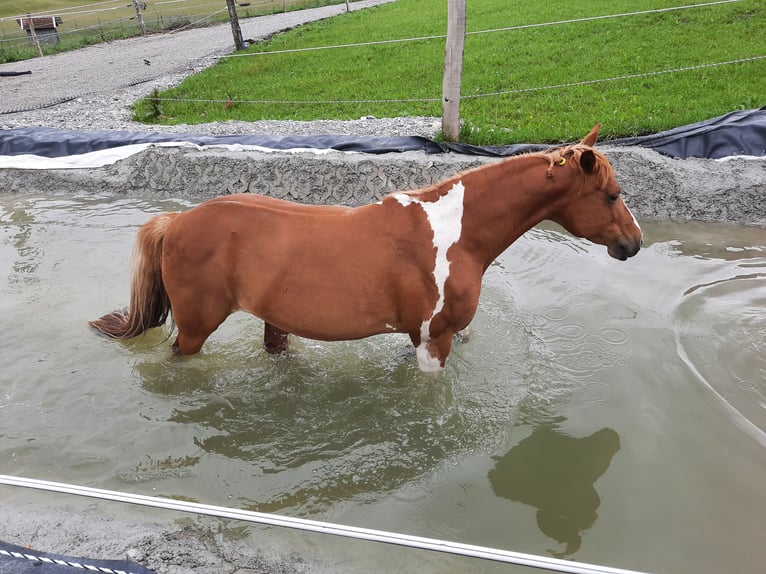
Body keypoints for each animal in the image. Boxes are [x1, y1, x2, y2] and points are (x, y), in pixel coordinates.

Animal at [90, 125, 640, 374]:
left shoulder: (422, 337)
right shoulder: (436, 340)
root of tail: (176, 221)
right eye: (612, 195)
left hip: (273, 320)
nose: (633, 243)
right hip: (195, 330)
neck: (455, 235)